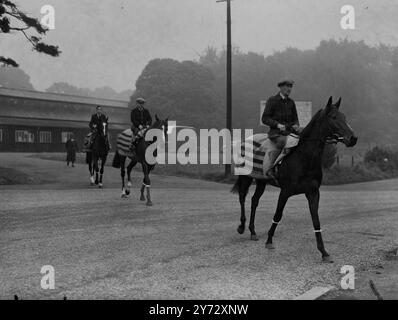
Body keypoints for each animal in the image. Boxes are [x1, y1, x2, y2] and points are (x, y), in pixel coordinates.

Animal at [230, 97, 358, 262]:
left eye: (344, 117)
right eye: (334, 117)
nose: (353, 138)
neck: (303, 158)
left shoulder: (313, 193)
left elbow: (315, 219)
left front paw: (324, 252)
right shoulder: (285, 192)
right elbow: (278, 215)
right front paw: (269, 240)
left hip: (261, 181)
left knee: (254, 201)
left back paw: (253, 232)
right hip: (246, 177)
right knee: (242, 197)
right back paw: (241, 227)